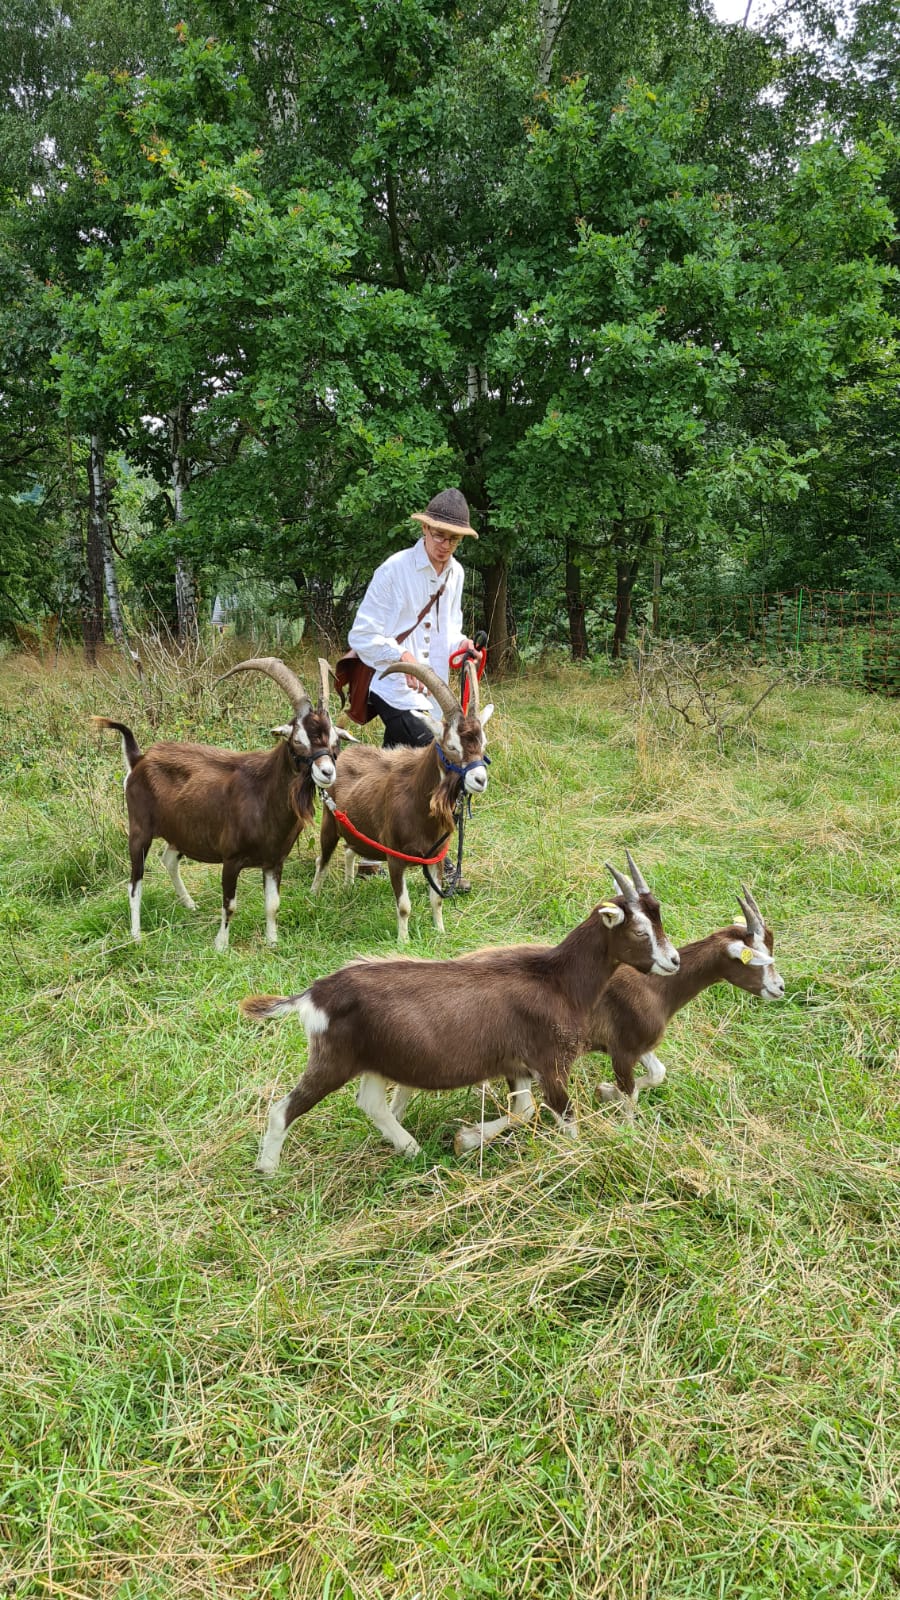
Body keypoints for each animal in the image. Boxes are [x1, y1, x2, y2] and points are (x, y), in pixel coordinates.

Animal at [92, 659, 339, 947]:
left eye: (335, 740)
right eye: (298, 739)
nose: (327, 772)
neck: (263, 793)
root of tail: (138, 760)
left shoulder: (274, 861)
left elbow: (273, 905)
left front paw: (272, 943)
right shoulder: (231, 859)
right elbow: (230, 904)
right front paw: (220, 945)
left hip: (180, 831)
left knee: (168, 859)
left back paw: (189, 904)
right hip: (139, 830)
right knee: (134, 884)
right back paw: (136, 935)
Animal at [241, 857, 675, 1171]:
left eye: (659, 919)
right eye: (639, 931)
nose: (673, 961)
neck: (558, 981)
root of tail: (314, 994)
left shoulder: (517, 1065)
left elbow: (523, 1110)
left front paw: (467, 1139)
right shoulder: (550, 1062)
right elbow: (564, 1117)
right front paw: (578, 1158)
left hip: (374, 1061)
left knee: (371, 1104)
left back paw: (411, 1149)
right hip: (333, 1060)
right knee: (282, 1110)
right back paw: (268, 1170)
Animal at [307, 656, 490, 940]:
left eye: (483, 743)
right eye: (451, 746)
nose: (479, 779)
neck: (417, 804)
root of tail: (342, 754)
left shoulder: (435, 858)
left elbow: (437, 899)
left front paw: (440, 932)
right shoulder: (395, 858)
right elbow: (404, 905)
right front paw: (403, 941)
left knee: (349, 850)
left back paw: (348, 886)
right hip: (329, 822)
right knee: (322, 860)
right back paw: (314, 896)